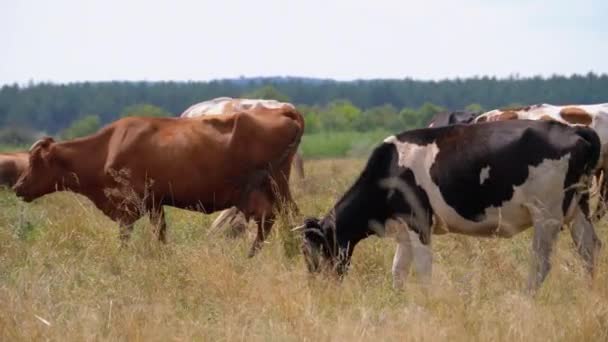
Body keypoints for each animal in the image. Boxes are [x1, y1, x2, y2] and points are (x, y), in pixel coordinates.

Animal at [11, 109, 302, 256]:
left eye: (35, 161)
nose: (17, 186)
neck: (108, 146)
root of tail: (283, 110)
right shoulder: (156, 203)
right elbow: (159, 233)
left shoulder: (136, 204)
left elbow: (131, 234)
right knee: (268, 221)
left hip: (277, 185)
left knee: (288, 216)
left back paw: (289, 251)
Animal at [294, 121, 604, 294]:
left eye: (312, 253)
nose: (318, 290)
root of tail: (574, 129)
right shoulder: (404, 229)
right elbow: (398, 270)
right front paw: (398, 301)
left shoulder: (419, 221)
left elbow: (423, 269)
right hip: (578, 208)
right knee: (589, 248)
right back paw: (588, 293)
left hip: (547, 214)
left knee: (542, 262)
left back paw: (525, 297)